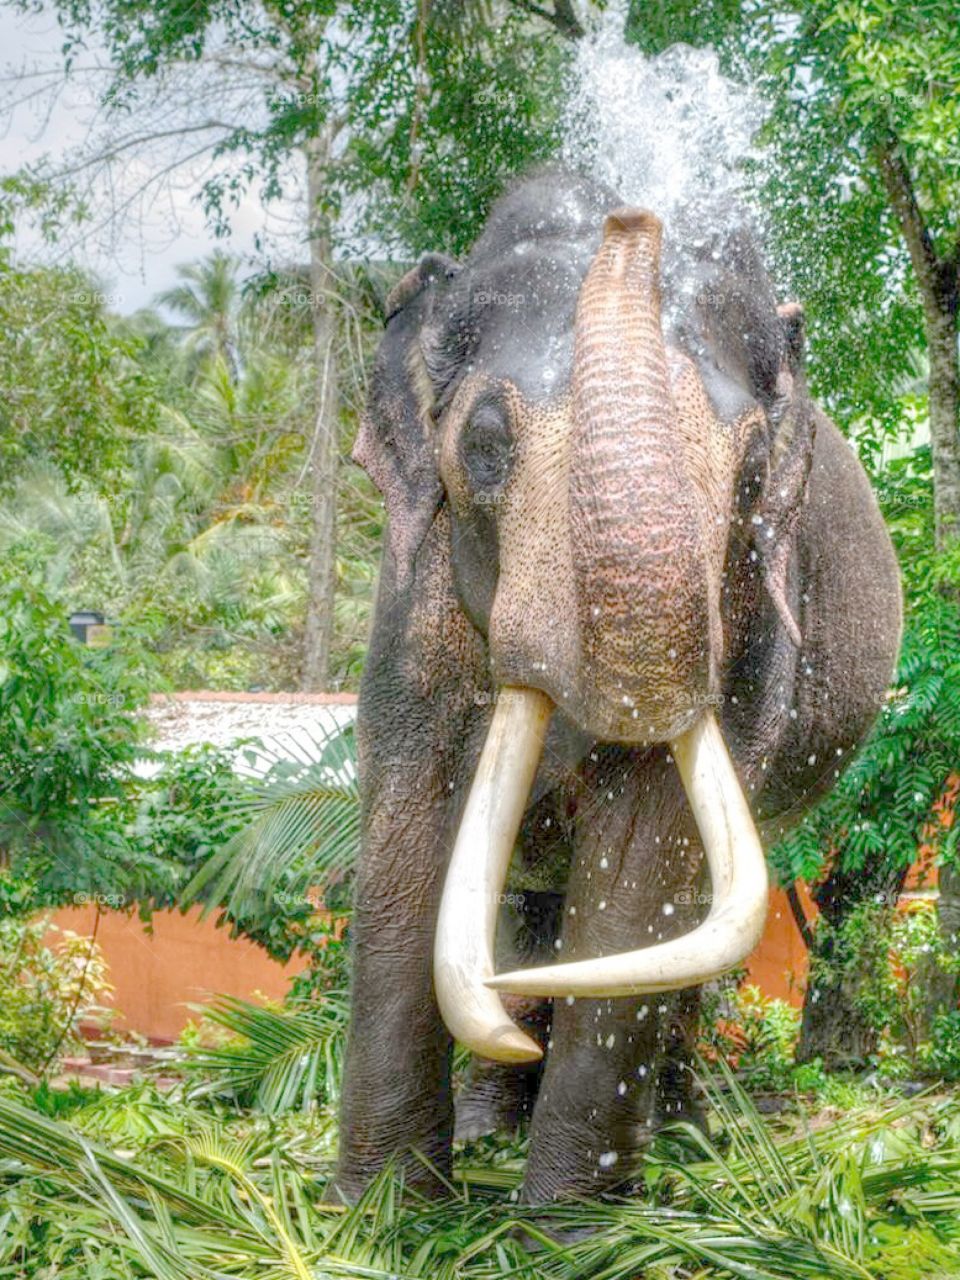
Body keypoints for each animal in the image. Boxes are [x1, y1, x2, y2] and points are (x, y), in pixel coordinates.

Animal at [334, 167, 901, 1205]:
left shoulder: (754, 626)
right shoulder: (411, 594)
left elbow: (644, 863)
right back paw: (493, 1127)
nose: (633, 217)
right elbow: (411, 816)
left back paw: (684, 1138)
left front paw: (569, 1226)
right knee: (522, 904)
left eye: (752, 476)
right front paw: (375, 1216)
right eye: (484, 448)